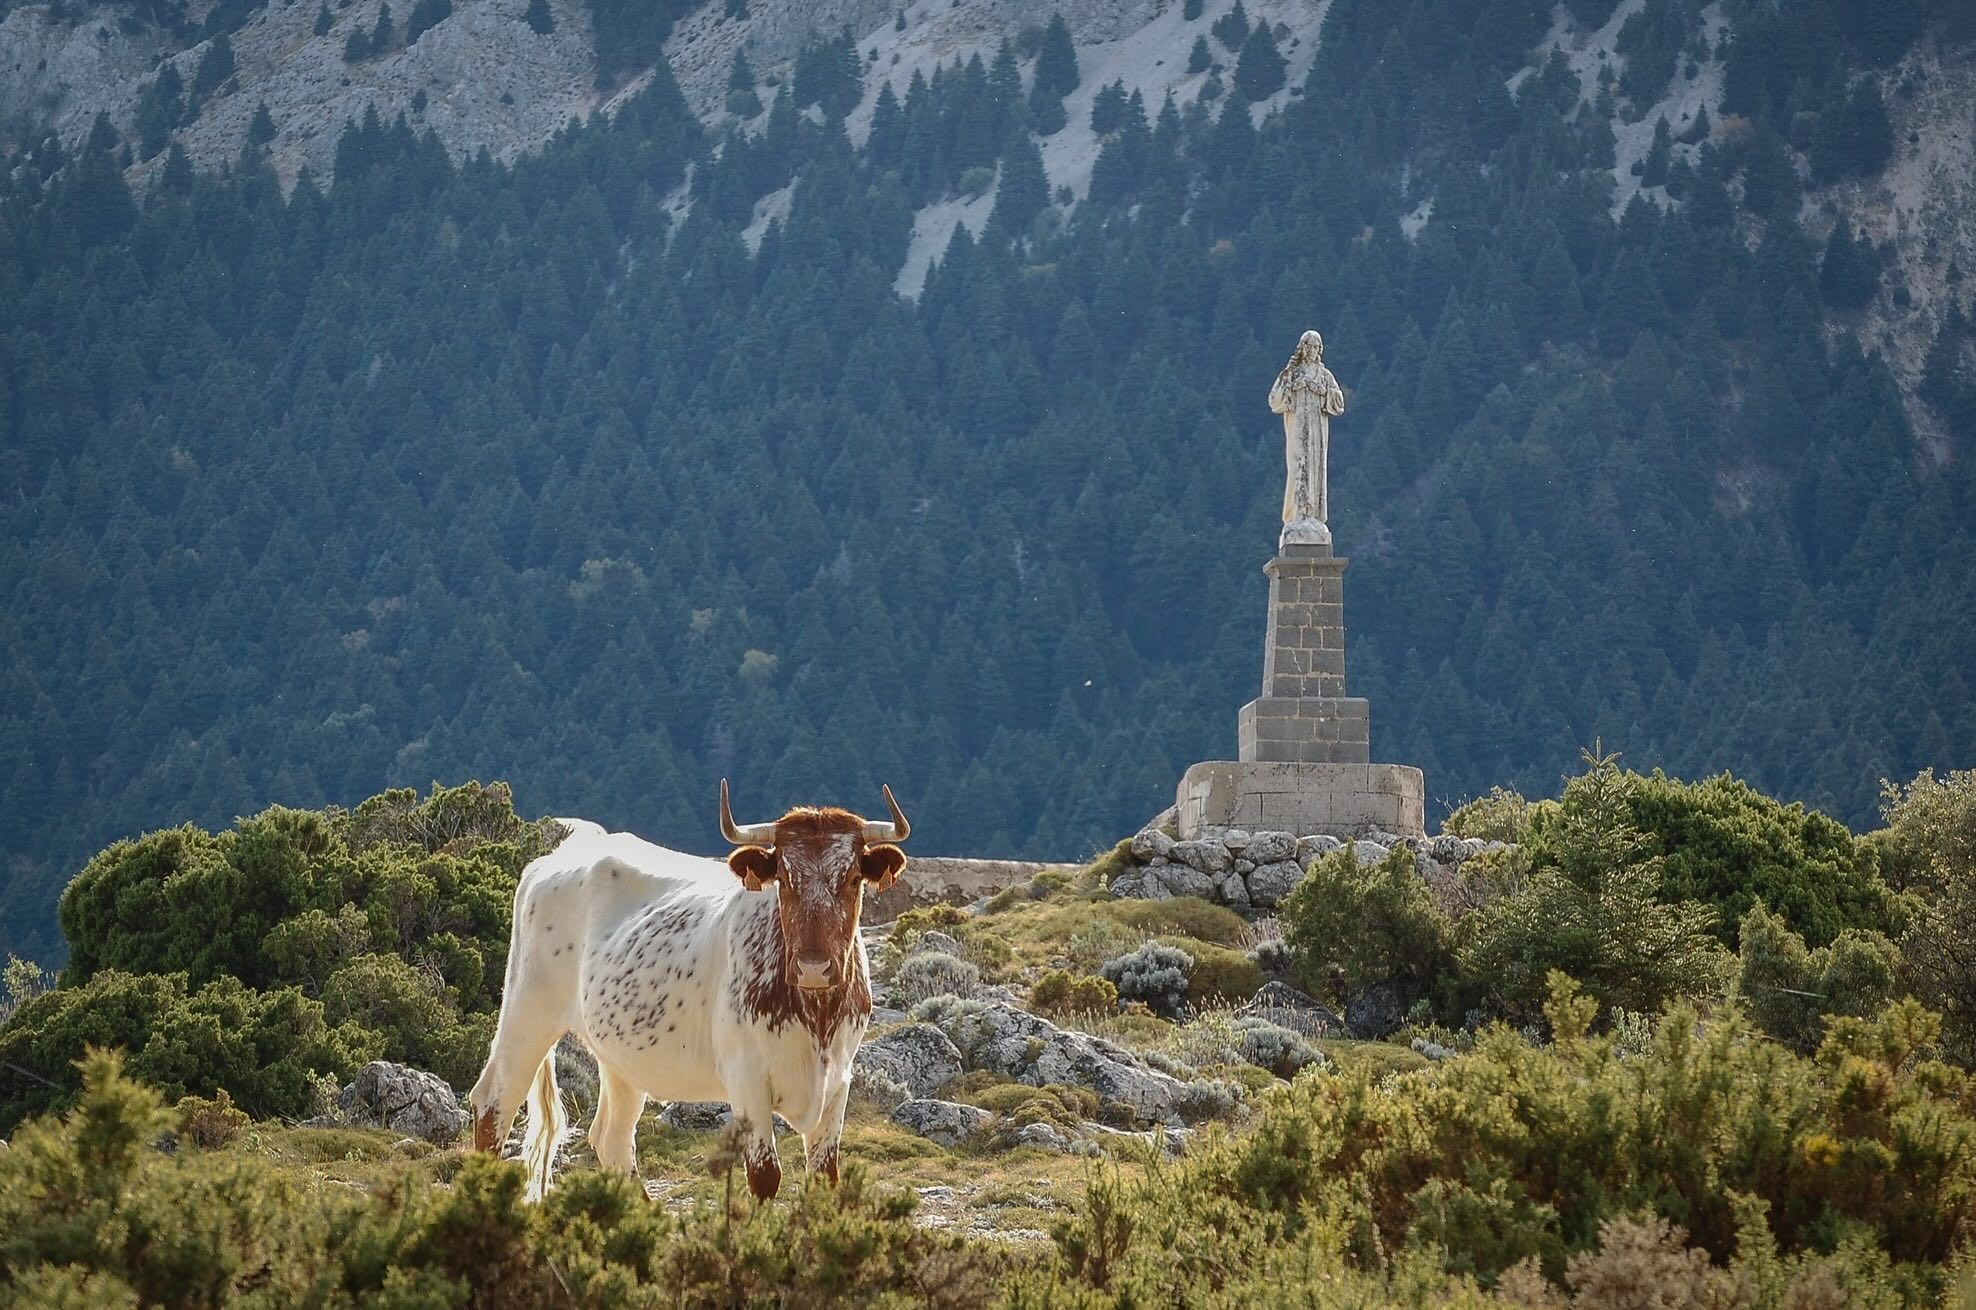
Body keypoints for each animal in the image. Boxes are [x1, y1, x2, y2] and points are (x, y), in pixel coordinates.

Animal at [467, 782, 909, 1202]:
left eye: (852, 878)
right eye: (783, 879)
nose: (814, 966)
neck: (815, 1016)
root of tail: (549, 861)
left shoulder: (838, 1081)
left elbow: (824, 1178)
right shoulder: (746, 1078)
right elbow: (765, 1176)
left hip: (620, 1054)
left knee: (611, 1136)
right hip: (527, 1009)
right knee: (494, 1104)